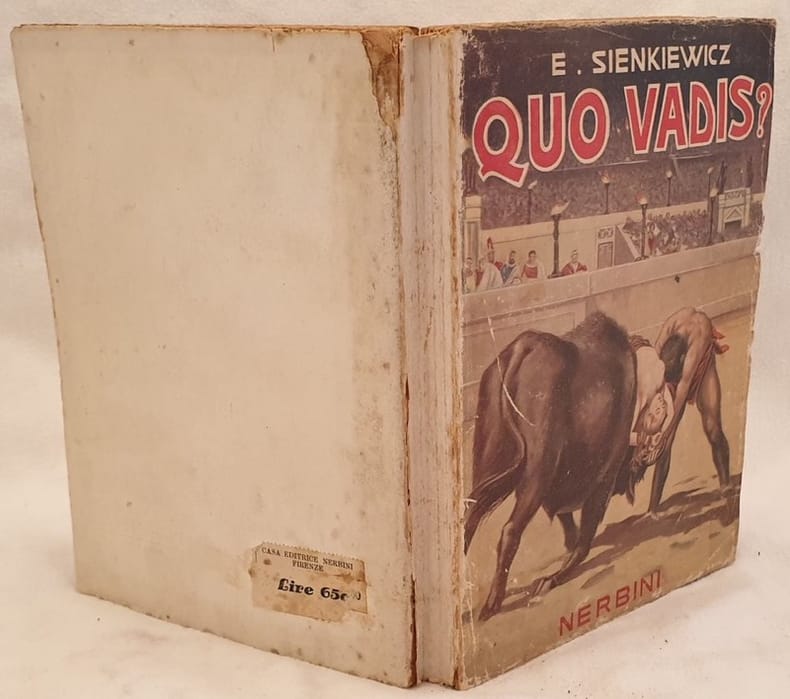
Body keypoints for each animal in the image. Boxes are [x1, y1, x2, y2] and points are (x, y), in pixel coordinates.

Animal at [464, 312, 637, 621]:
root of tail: (523, 347)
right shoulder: (604, 474)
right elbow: (583, 535)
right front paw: (554, 576)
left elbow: (569, 525)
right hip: (538, 469)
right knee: (510, 530)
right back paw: (493, 603)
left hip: (490, 459)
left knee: (468, 518)